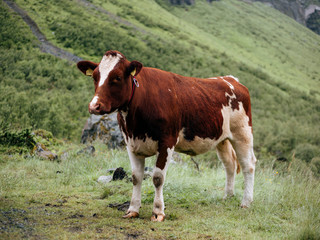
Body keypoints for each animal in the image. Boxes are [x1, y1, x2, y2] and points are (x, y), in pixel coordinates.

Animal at [77, 49, 258, 222]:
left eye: (117, 77)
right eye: (95, 77)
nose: (94, 106)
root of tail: (230, 79)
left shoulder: (167, 142)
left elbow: (157, 178)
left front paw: (158, 212)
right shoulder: (131, 142)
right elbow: (136, 177)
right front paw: (133, 210)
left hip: (242, 133)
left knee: (248, 165)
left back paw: (246, 202)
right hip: (222, 139)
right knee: (230, 165)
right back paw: (228, 196)